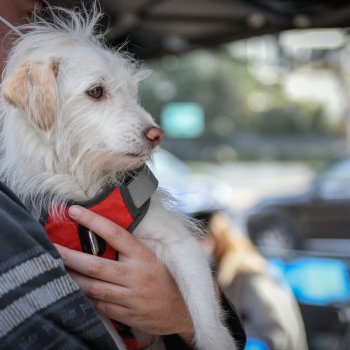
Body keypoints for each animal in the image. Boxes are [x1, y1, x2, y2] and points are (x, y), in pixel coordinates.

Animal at [0, 6, 238, 350]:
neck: (85, 181)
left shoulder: (178, 242)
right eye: (96, 91)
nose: (157, 134)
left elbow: (204, 311)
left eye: (133, 93)